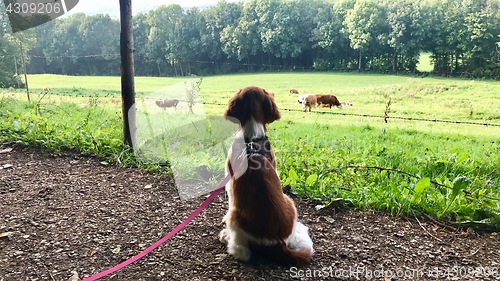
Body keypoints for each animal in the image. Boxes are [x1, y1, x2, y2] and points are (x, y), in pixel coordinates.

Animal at [222, 85, 314, 264]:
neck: (252, 138)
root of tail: (277, 243)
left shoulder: (230, 186)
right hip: (290, 202)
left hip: (234, 215)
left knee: (242, 252)